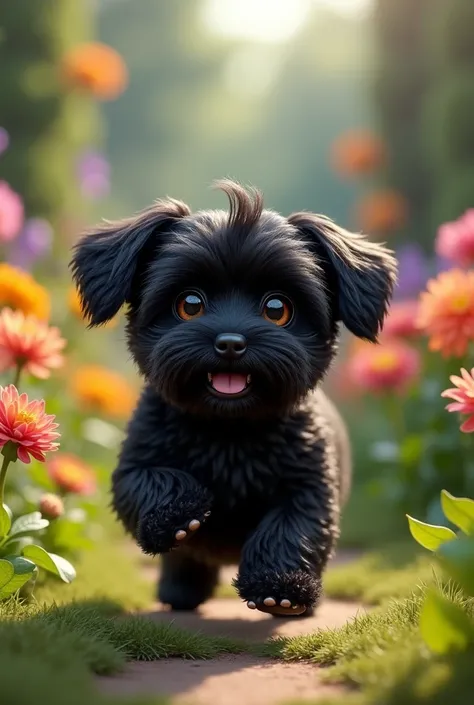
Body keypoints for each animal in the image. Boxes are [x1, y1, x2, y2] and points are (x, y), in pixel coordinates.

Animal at [70, 182, 396, 616]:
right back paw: (180, 590)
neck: (229, 432)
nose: (229, 342)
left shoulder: (310, 485)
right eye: (190, 304)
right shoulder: (134, 462)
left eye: (277, 308)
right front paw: (178, 514)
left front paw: (281, 589)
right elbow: (150, 481)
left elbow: (290, 528)